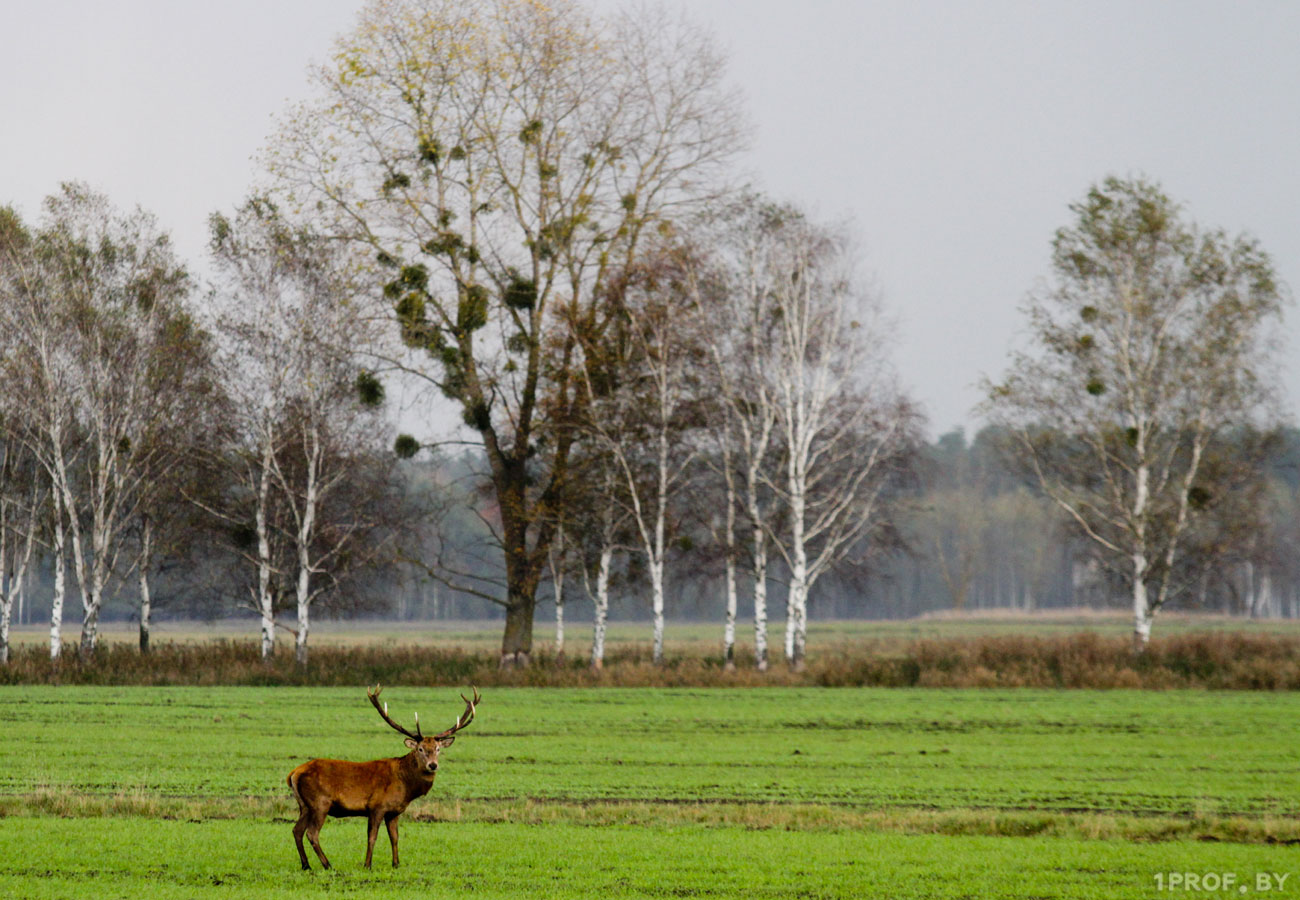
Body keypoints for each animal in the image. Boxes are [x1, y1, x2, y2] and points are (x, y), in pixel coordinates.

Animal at [287, 686, 480, 868]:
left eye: (438, 749)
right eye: (420, 749)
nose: (433, 765)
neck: (405, 786)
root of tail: (294, 773)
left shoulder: (394, 812)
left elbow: (395, 837)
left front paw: (396, 864)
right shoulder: (376, 806)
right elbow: (372, 837)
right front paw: (367, 865)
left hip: (305, 805)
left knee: (297, 830)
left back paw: (306, 865)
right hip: (320, 802)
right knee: (312, 833)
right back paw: (328, 865)